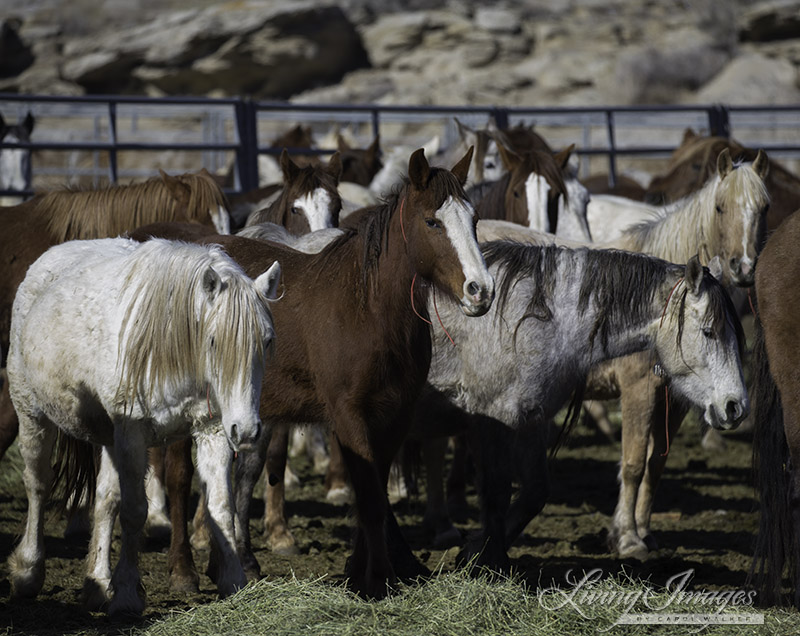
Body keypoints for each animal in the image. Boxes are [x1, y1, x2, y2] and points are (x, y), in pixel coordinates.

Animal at [5, 237, 282, 616]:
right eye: (213, 341)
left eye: (266, 341)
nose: (248, 430)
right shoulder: (133, 434)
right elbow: (135, 512)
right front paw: (126, 595)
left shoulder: (210, 431)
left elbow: (220, 509)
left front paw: (234, 583)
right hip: (33, 414)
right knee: (38, 486)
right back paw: (28, 573)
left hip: (109, 438)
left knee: (105, 499)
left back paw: (97, 582)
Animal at [130, 147, 494, 600]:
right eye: (432, 221)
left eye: (474, 219)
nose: (481, 290)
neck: (367, 308)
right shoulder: (348, 416)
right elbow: (369, 498)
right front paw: (377, 578)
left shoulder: (393, 417)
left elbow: (374, 492)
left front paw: (361, 570)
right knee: (180, 478)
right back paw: (183, 569)